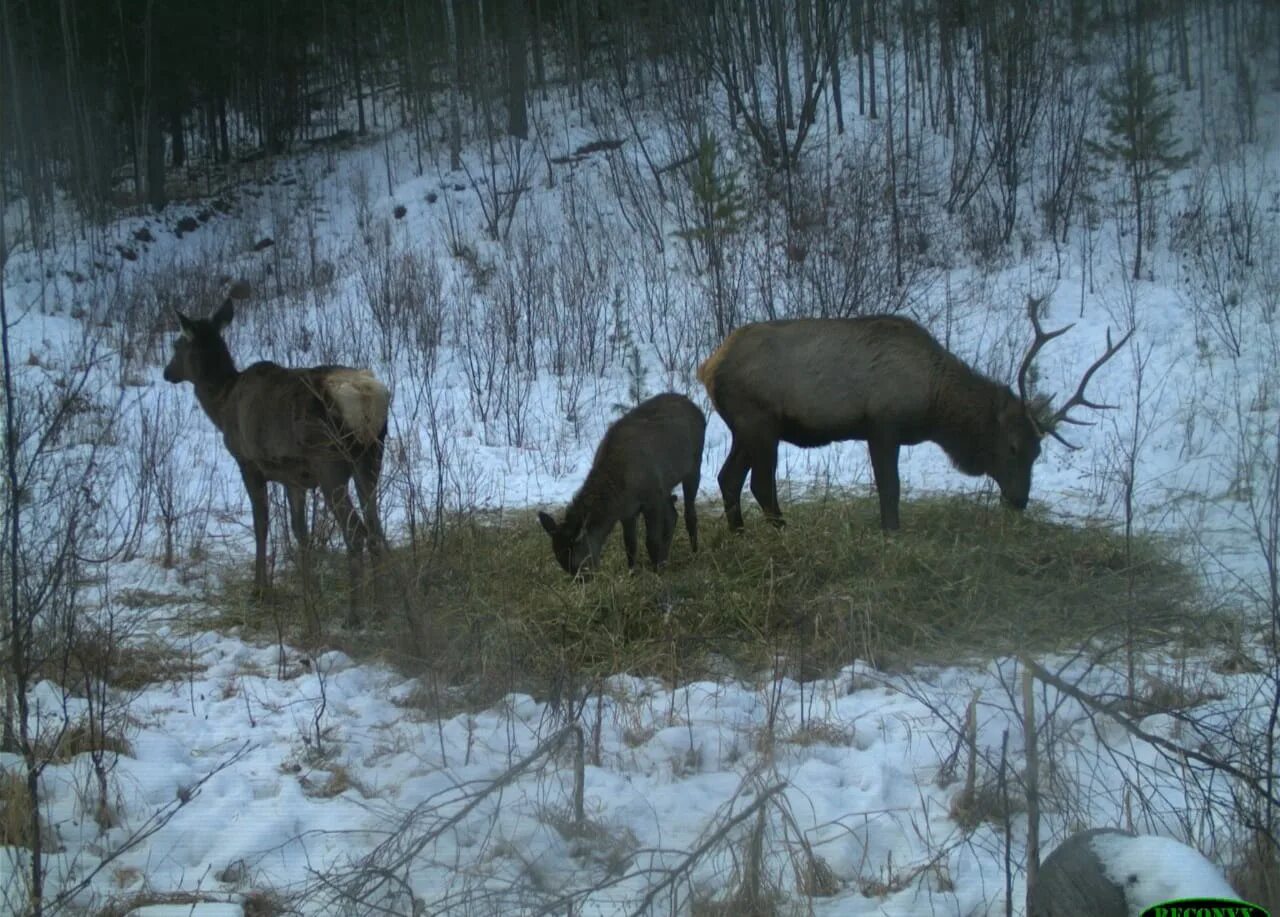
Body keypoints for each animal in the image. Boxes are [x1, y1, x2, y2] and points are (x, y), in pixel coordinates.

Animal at [163, 297, 389, 627]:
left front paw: (259, 590)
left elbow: (262, 523)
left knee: (356, 531)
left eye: (177, 344)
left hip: (330, 463)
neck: (222, 405)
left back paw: (354, 615)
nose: (167, 372)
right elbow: (300, 531)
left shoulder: (248, 462)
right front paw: (310, 594)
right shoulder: (293, 476)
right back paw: (381, 605)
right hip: (371, 456)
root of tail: (365, 401)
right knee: (375, 526)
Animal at [535, 391, 706, 576]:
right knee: (672, 515)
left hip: (693, 466)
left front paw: (655, 572)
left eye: (577, 561)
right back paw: (665, 559)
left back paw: (694, 552)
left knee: (689, 514)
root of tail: (697, 409)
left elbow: (652, 541)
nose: (583, 578)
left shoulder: (651, 498)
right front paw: (632, 572)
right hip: (665, 486)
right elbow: (630, 545)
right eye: (562, 563)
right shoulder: (628, 511)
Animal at [701, 299, 1131, 530]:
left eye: (1037, 452)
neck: (933, 408)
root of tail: (708, 367)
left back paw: (739, 533)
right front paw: (891, 531)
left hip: (744, 428)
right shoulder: (882, 425)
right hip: (760, 422)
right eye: (1012, 447)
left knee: (728, 478)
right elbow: (890, 489)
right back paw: (782, 530)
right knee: (761, 484)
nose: (1020, 499)